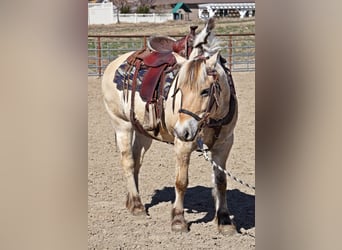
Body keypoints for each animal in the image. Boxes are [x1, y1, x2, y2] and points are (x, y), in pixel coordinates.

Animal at [101, 18, 238, 234]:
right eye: (179, 89)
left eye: (205, 91)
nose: (183, 131)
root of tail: (114, 64)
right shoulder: (182, 145)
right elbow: (181, 181)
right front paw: (178, 220)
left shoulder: (224, 144)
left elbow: (221, 181)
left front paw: (224, 221)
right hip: (121, 125)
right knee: (128, 162)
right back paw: (137, 206)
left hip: (143, 132)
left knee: (136, 161)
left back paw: (131, 201)